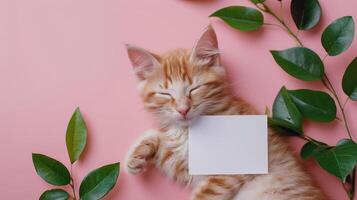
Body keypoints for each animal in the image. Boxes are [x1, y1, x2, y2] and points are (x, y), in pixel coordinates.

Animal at [124, 25, 324, 200]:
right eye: (166, 94)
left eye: (194, 89)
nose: (183, 110)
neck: (192, 130)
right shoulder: (189, 168)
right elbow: (166, 146)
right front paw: (137, 155)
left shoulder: (233, 167)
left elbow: (205, 194)